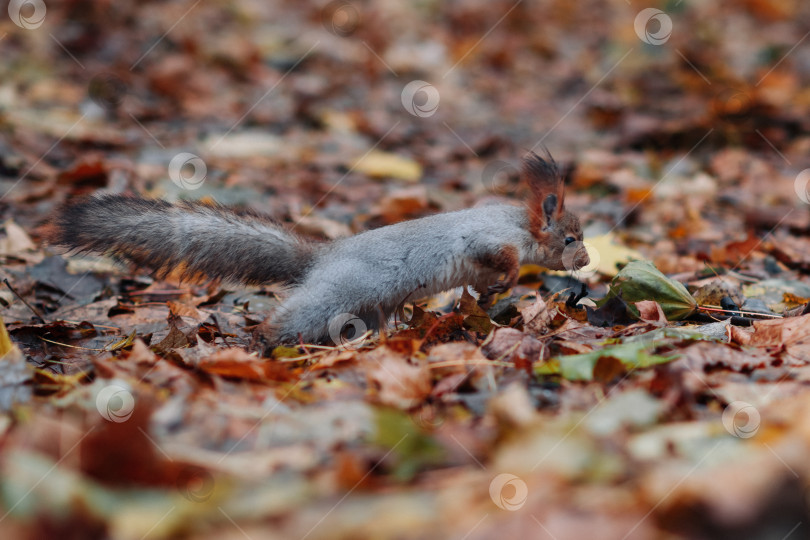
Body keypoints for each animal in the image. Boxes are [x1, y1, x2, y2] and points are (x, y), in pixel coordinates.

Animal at [49, 150, 588, 348]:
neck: (519, 223)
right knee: (290, 320)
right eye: (569, 238)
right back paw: (263, 341)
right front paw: (511, 278)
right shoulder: (487, 237)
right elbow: (499, 258)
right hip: (336, 295)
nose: (586, 262)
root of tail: (320, 260)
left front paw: (488, 295)